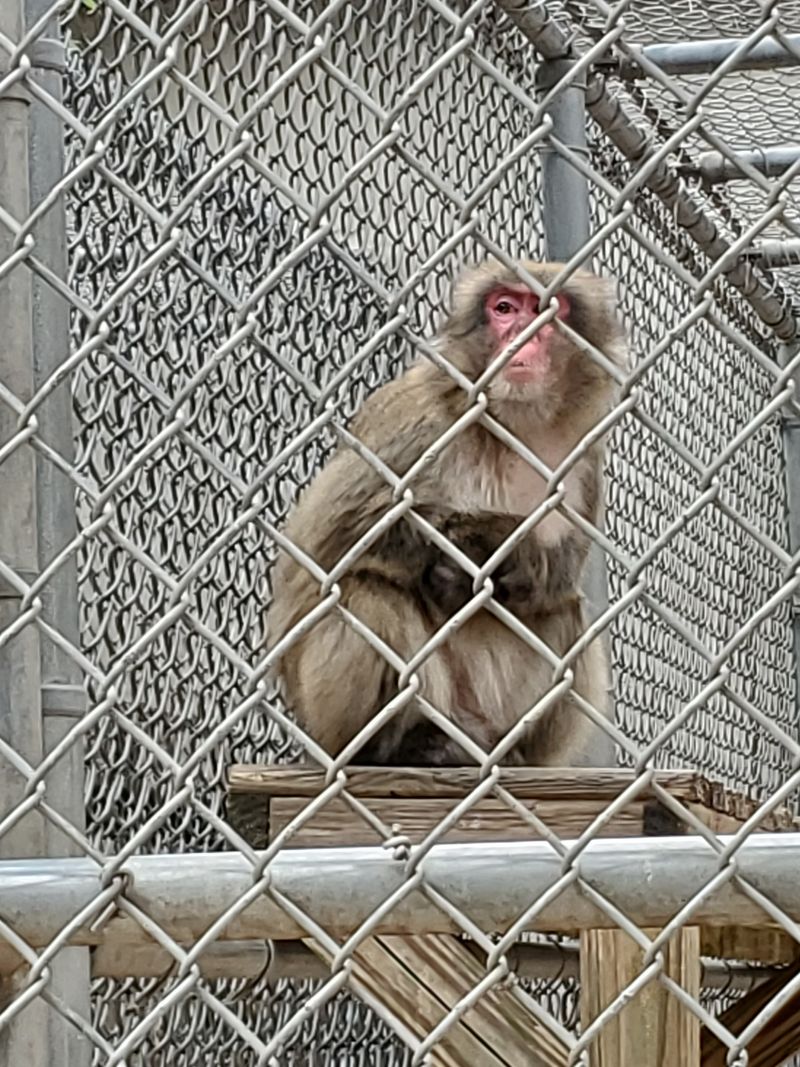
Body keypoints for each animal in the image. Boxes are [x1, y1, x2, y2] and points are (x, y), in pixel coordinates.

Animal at [266, 259, 627, 766]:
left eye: (549, 310)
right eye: (504, 308)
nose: (524, 335)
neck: (514, 424)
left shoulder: (586, 455)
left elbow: (562, 570)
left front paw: (511, 555)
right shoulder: (420, 418)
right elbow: (320, 552)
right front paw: (473, 545)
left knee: (563, 608)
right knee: (365, 590)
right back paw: (395, 747)